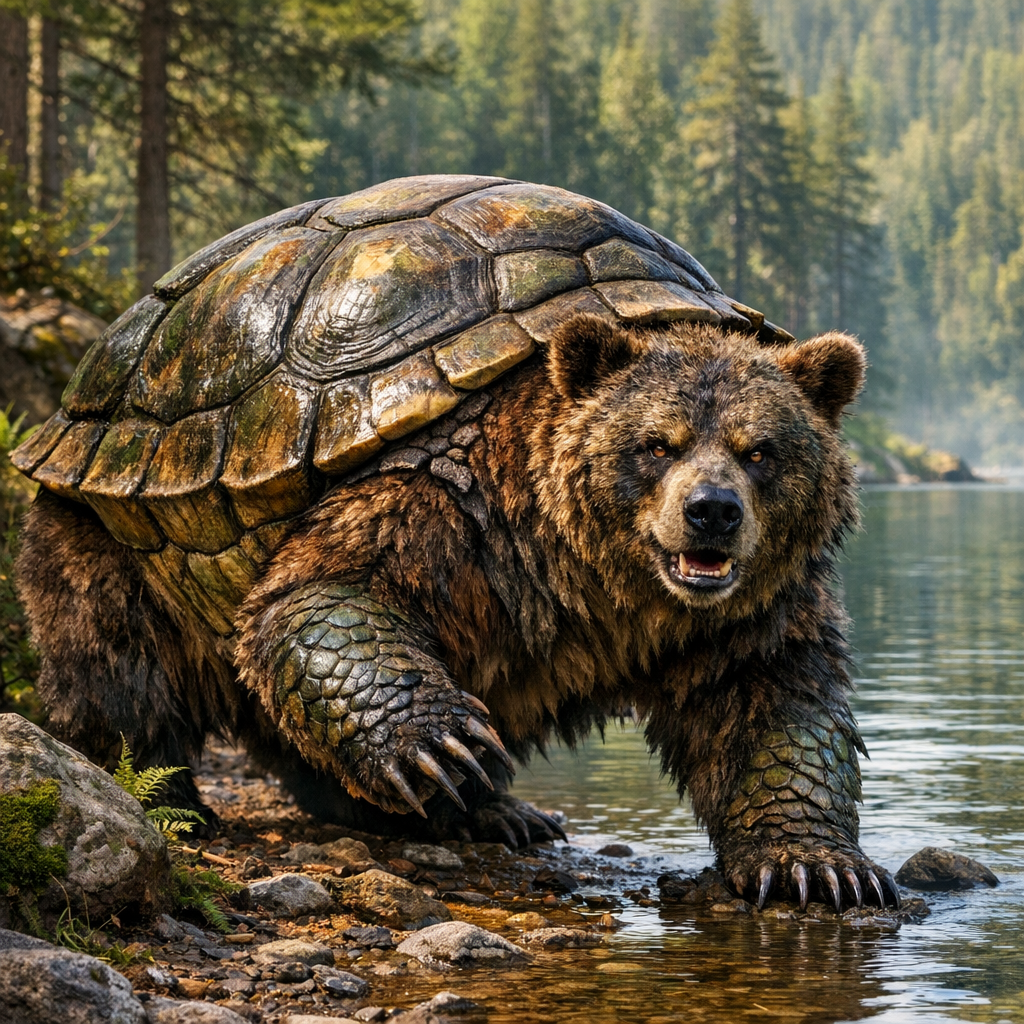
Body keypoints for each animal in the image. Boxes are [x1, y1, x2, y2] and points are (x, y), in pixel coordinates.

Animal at [15, 312, 898, 912]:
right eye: (658, 442)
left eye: (761, 450)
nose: (711, 512)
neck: (600, 577)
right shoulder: (452, 496)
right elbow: (326, 589)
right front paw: (442, 744)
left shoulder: (749, 607)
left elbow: (770, 699)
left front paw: (817, 864)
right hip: (117, 499)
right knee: (115, 653)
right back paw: (168, 795)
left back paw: (501, 815)